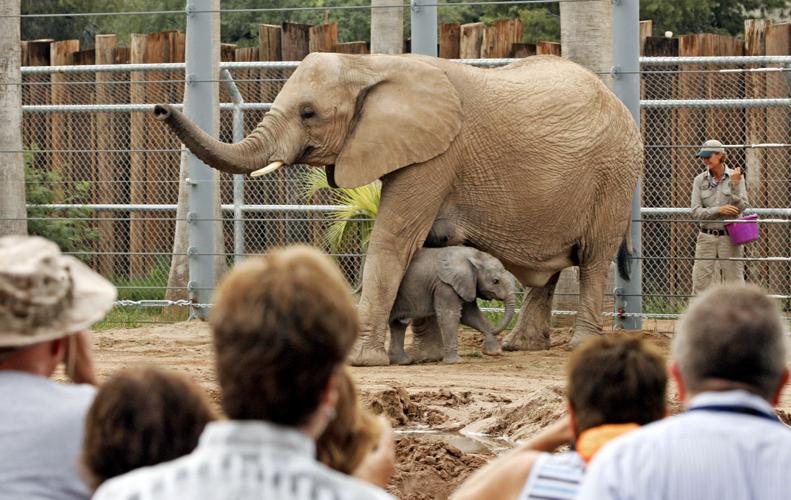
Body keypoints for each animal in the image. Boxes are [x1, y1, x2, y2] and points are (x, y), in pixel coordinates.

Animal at [388, 246, 516, 365]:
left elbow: (470, 316)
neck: (472, 255)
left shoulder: (465, 284)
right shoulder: (444, 285)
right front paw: (456, 362)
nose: (494, 329)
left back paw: (403, 361)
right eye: (495, 281)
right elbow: (450, 316)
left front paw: (493, 352)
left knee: (398, 324)